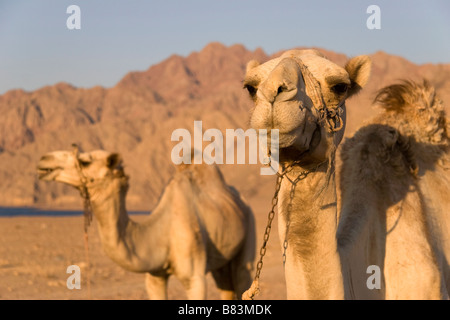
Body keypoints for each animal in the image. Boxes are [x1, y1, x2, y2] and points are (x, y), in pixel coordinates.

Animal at [37, 148, 255, 300]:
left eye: (84, 161)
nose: (44, 159)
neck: (161, 232)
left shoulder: (195, 279)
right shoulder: (155, 277)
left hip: (250, 226)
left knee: (242, 278)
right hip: (221, 257)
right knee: (226, 288)